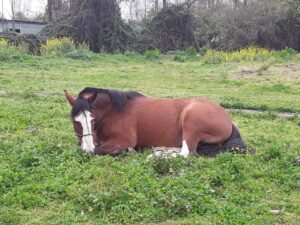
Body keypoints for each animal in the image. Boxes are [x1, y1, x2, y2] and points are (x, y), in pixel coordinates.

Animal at [64, 87, 250, 157]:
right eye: (75, 120)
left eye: (92, 118)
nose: (87, 148)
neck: (115, 111)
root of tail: (228, 119)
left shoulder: (123, 140)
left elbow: (100, 150)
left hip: (190, 120)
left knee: (186, 152)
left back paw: (155, 156)